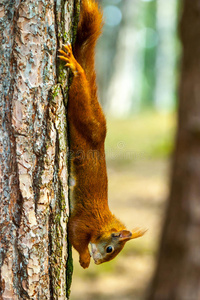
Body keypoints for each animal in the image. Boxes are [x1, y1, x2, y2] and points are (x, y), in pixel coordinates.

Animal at [58, 0, 146, 268]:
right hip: (85, 117)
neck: (103, 222)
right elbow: (75, 234)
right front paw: (85, 259)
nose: (98, 263)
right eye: (109, 249)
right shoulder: (85, 220)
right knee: (80, 86)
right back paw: (76, 67)